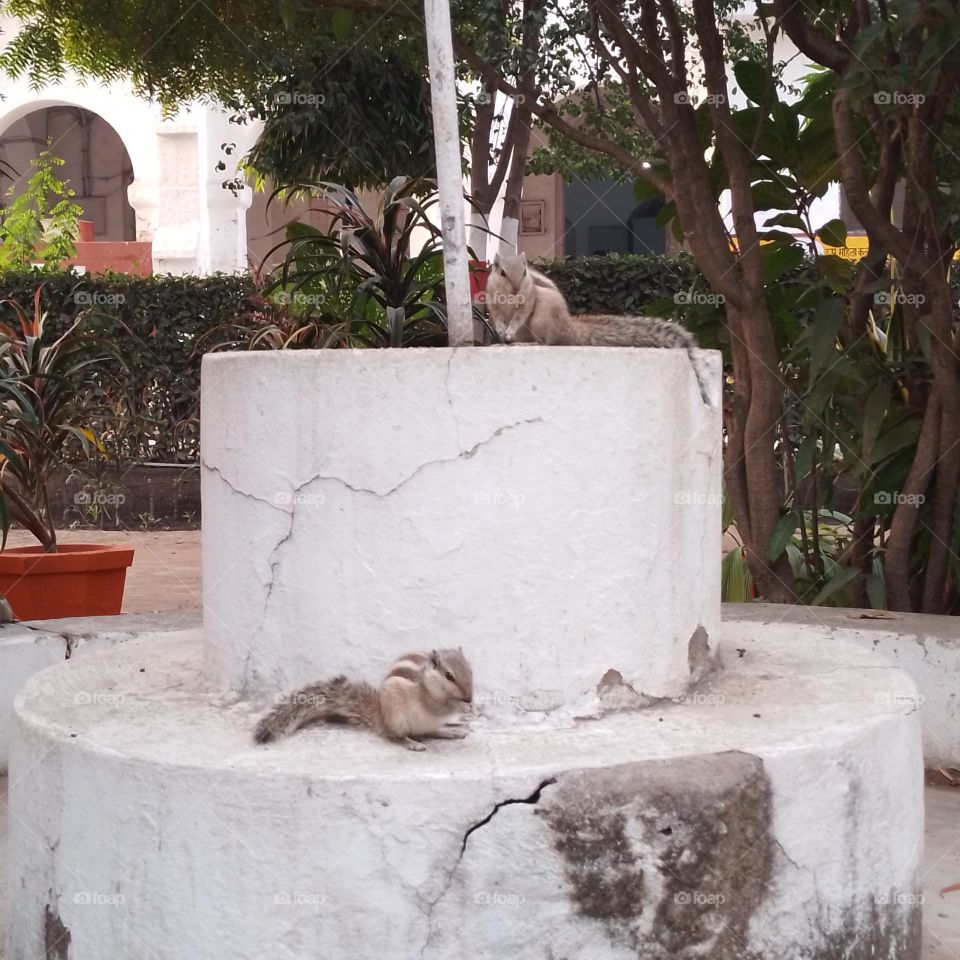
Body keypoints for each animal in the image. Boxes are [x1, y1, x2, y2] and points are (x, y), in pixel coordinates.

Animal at [253, 649, 473, 752]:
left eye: (471, 670)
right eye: (449, 676)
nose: (469, 697)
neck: (427, 679)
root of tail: (382, 719)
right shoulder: (427, 698)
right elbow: (438, 706)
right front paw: (461, 706)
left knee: (429, 731)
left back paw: (450, 731)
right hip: (398, 718)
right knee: (397, 736)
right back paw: (412, 743)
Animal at [485, 252, 713, 406]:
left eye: (524, 272)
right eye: (502, 272)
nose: (516, 289)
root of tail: (568, 326)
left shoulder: (529, 300)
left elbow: (520, 316)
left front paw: (510, 330)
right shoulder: (492, 303)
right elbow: (497, 317)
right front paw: (501, 331)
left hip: (543, 316)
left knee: (547, 341)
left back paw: (525, 342)